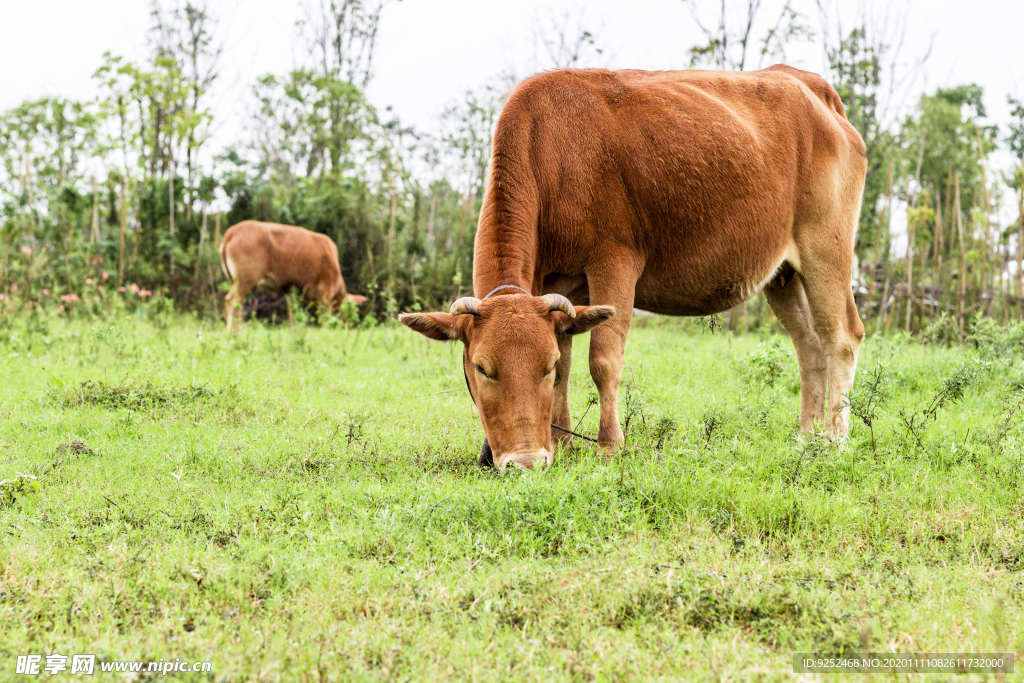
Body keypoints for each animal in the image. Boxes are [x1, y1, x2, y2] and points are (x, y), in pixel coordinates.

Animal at [218, 220, 366, 329]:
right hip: (245, 280)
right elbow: (325, 319)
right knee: (233, 302)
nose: (351, 328)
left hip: (234, 280)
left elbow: (293, 315)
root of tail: (234, 230)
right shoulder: (325, 293)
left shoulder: (291, 292)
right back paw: (235, 332)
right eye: (352, 311)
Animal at [399, 63, 864, 471]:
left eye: (542, 366)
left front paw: (609, 445)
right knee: (809, 346)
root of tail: (814, 89)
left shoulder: (615, 260)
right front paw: (564, 444)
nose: (527, 461)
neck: (551, 152)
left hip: (825, 248)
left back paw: (836, 439)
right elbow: (570, 365)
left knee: (841, 337)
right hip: (782, 274)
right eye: (481, 367)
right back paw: (805, 435)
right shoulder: (556, 287)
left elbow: (602, 361)